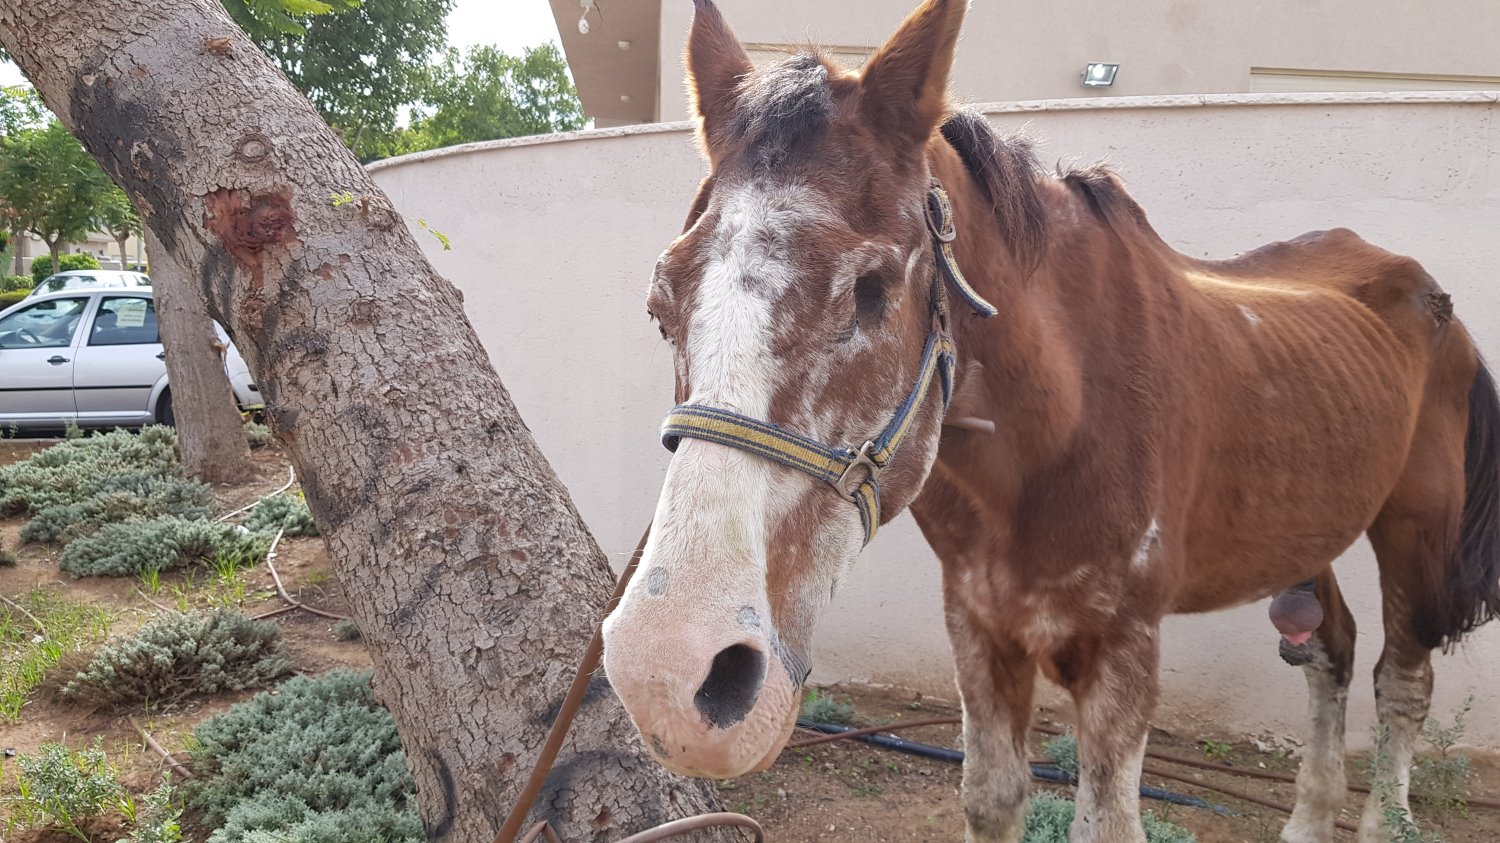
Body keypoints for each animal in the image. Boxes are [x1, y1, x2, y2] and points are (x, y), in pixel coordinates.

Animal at [597, 3, 1500, 834]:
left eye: (873, 289)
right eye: (660, 304)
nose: (668, 673)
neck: (1061, 426)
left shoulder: (1122, 652)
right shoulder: (980, 630)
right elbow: (993, 796)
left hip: (1412, 532)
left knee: (1401, 684)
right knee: (1329, 652)